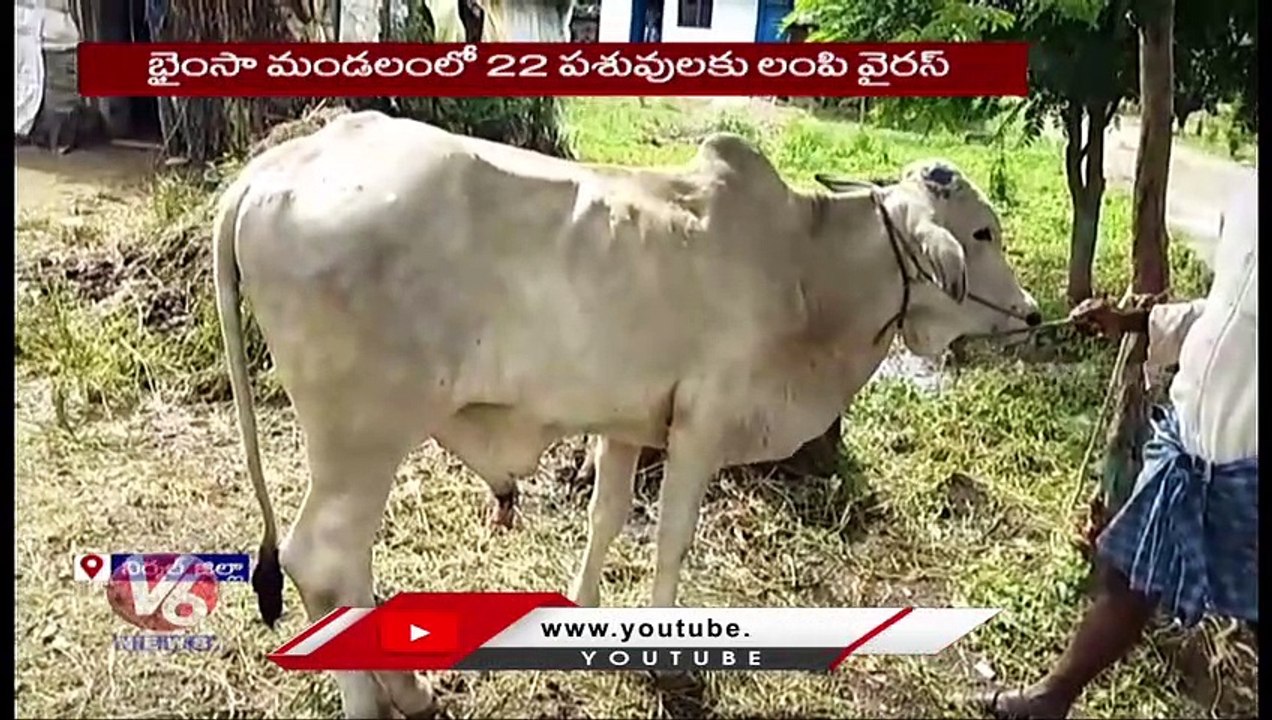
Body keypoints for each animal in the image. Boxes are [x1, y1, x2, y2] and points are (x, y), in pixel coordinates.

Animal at [212, 110, 1041, 718]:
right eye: (982, 232)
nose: (1032, 314)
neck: (804, 271)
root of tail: (273, 170)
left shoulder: (624, 424)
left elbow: (606, 517)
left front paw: (584, 614)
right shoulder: (703, 423)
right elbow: (672, 538)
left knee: (345, 561)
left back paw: (407, 688)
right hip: (363, 432)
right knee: (322, 558)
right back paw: (379, 700)